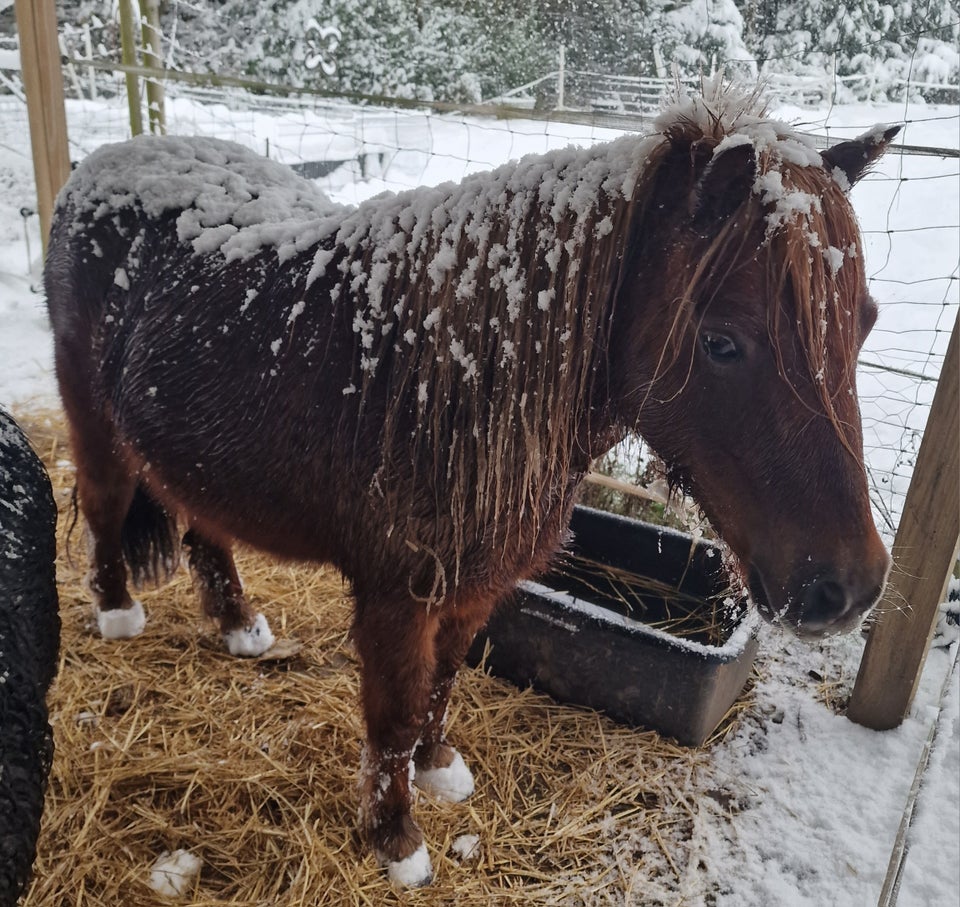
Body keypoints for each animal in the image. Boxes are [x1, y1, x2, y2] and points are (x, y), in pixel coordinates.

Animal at [45, 81, 892, 892]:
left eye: (866, 324)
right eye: (721, 341)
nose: (847, 587)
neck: (445, 383)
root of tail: (102, 163)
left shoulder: (475, 584)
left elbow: (442, 683)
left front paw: (439, 768)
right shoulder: (396, 597)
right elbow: (391, 716)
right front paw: (396, 840)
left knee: (204, 525)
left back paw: (239, 624)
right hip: (93, 420)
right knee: (105, 504)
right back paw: (118, 611)